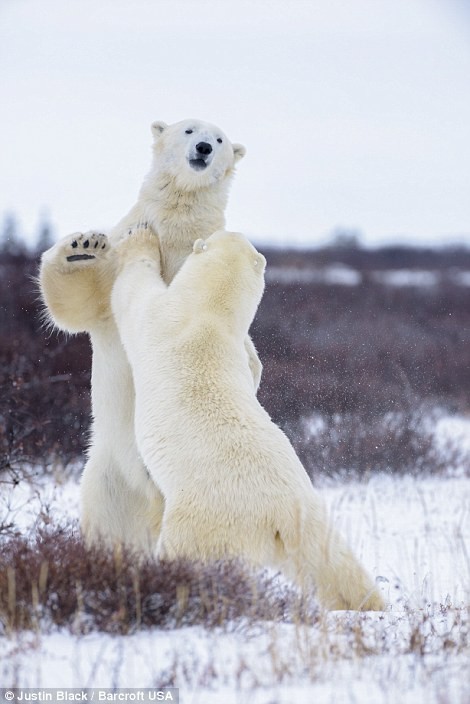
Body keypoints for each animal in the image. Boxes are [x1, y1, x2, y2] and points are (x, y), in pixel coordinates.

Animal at [39, 118, 260, 552]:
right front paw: (81, 246)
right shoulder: (116, 260)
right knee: (105, 527)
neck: (173, 232)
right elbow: (77, 305)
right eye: (189, 129)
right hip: (106, 478)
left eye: (221, 139)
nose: (205, 148)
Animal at [112, 227, 388, 612]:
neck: (208, 315)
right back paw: (368, 604)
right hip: (311, 515)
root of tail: (281, 509)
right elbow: (254, 365)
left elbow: (133, 297)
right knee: (331, 563)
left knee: (184, 556)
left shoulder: (162, 320)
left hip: (205, 518)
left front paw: (138, 238)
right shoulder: (233, 347)